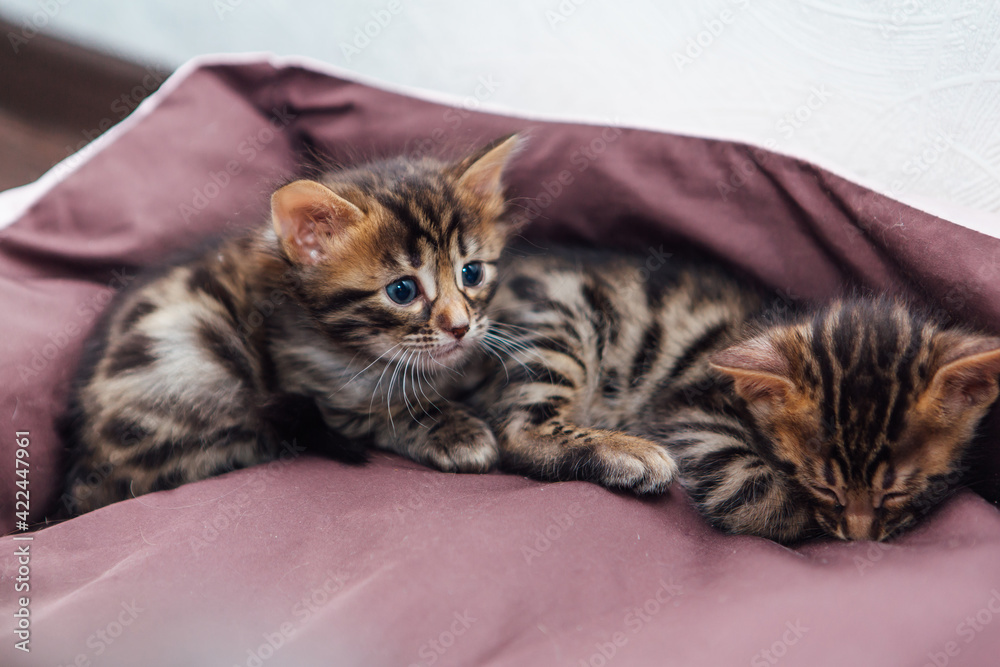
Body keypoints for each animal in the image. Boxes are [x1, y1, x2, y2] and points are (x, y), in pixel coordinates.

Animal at [60, 133, 524, 516]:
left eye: (471, 273)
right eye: (403, 290)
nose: (460, 327)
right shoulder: (324, 394)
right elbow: (391, 410)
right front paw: (455, 429)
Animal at [474, 245, 1000, 544]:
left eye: (896, 491)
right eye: (823, 486)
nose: (859, 538)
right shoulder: (693, 416)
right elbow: (763, 499)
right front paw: (811, 519)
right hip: (560, 320)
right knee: (515, 429)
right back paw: (629, 452)